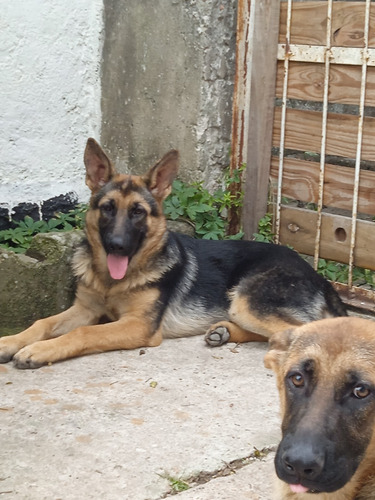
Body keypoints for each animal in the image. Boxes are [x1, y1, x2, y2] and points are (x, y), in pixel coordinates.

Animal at [0, 139, 346, 370]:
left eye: (138, 212)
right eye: (108, 208)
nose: (116, 245)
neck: (114, 282)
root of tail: (319, 278)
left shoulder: (138, 327)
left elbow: (83, 332)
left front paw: (39, 350)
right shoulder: (84, 308)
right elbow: (42, 323)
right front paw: (10, 341)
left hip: (247, 302)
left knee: (299, 333)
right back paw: (222, 332)